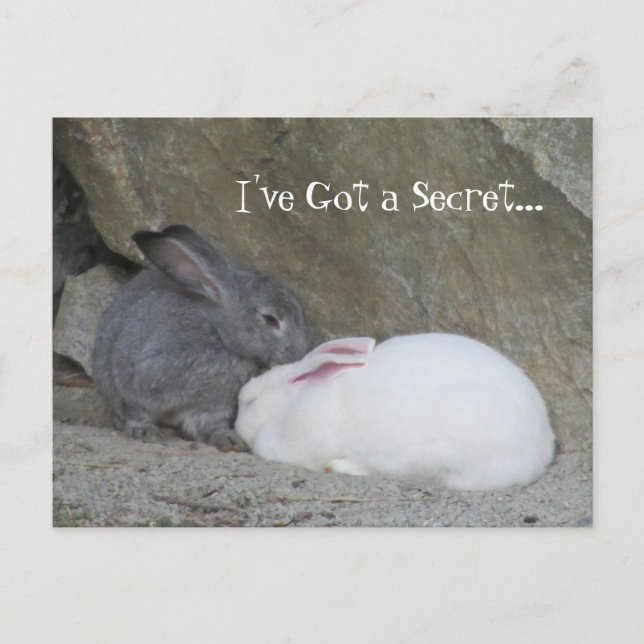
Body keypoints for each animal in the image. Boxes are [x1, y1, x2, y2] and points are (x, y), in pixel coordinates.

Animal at [92, 224, 311, 451]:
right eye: (270, 319)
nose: (299, 353)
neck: (218, 333)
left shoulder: (214, 406)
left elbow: (210, 425)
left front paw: (229, 440)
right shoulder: (139, 381)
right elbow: (138, 412)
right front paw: (145, 432)